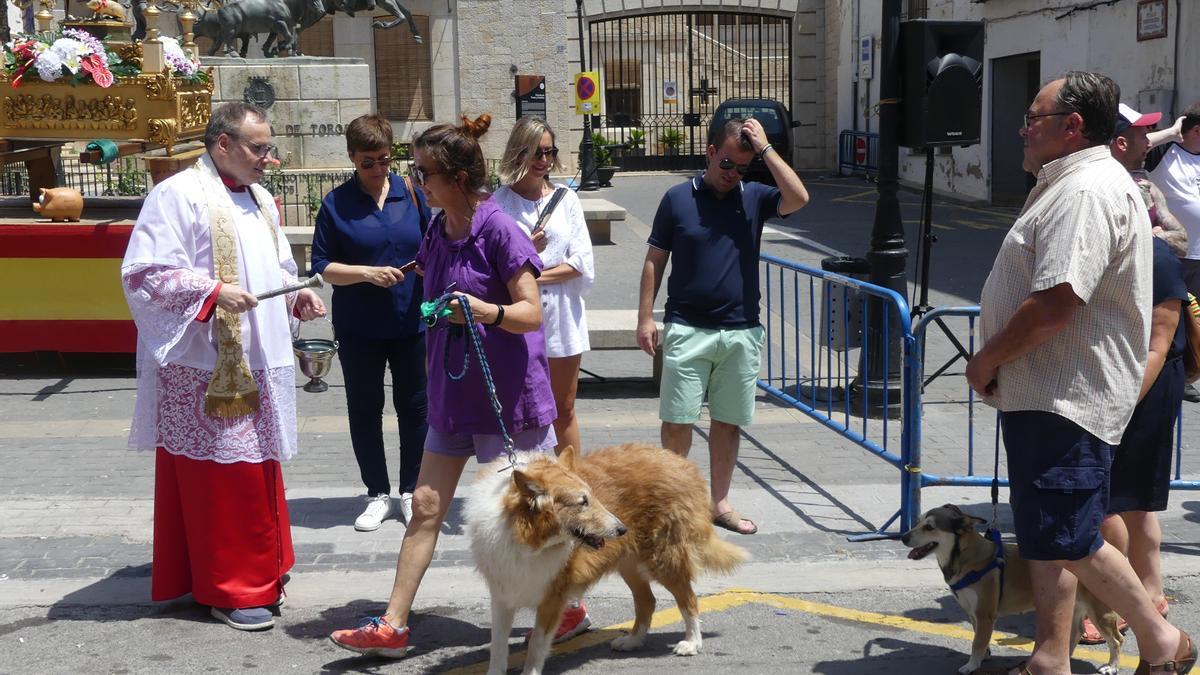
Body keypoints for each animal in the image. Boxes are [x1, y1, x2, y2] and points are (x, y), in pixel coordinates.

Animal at [463, 441, 744, 672]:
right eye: (582, 502)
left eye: (592, 497)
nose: (622, 529)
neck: (525, 537)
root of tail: (681, 462)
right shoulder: (503, 593)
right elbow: (499, 648)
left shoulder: (552, 598)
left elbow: (536, 649)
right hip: (630, 564)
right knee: (648, 601)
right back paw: (632, 641)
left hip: (664, 559)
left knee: (689, 600)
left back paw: (692, 643)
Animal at [902, 504, 1123, 672]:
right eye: (919, 521)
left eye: (929, 527)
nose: (903, 537)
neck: (965, 558)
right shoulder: (974, 614)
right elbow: (978, 636)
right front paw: (983, 656)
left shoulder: (985, 614)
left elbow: (977, 642)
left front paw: (971, 665)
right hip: (1075, 605)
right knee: (1076, 632)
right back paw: (1065, 657)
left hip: (1100, 611)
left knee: (1117, 640)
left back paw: (1111, 667)